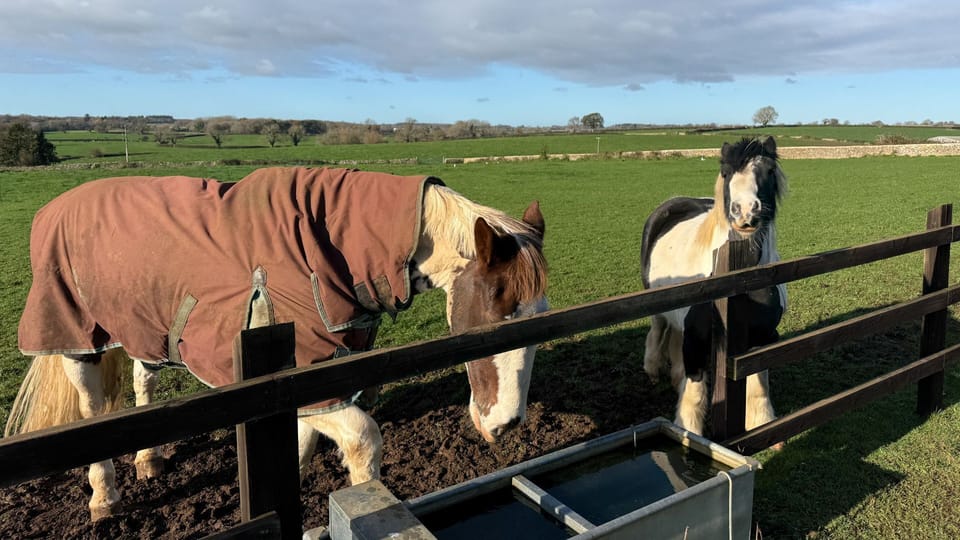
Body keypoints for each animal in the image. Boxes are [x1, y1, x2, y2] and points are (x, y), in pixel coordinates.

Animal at [4, 166, 548, 521]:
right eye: (492, 321)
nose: (506, 424)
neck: (334, 245)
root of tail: (58, 203)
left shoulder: (314, 373)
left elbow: (302, 437)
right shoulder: (301, 379)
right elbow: (363, 442)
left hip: (143, 327)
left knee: (142, 382)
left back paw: (149, 460)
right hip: (76, 338)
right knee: (92, 412)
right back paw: (104, 497)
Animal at [640, 137, 787, 437]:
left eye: (768, 171)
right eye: (726, 173)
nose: (745, 211)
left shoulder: (762, 338)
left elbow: (758, 386)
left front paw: (764, 424)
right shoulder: (696, 341)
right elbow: (695, 394)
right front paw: (689, 433)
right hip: (657, 306)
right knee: (658, 329)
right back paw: (653, 369)